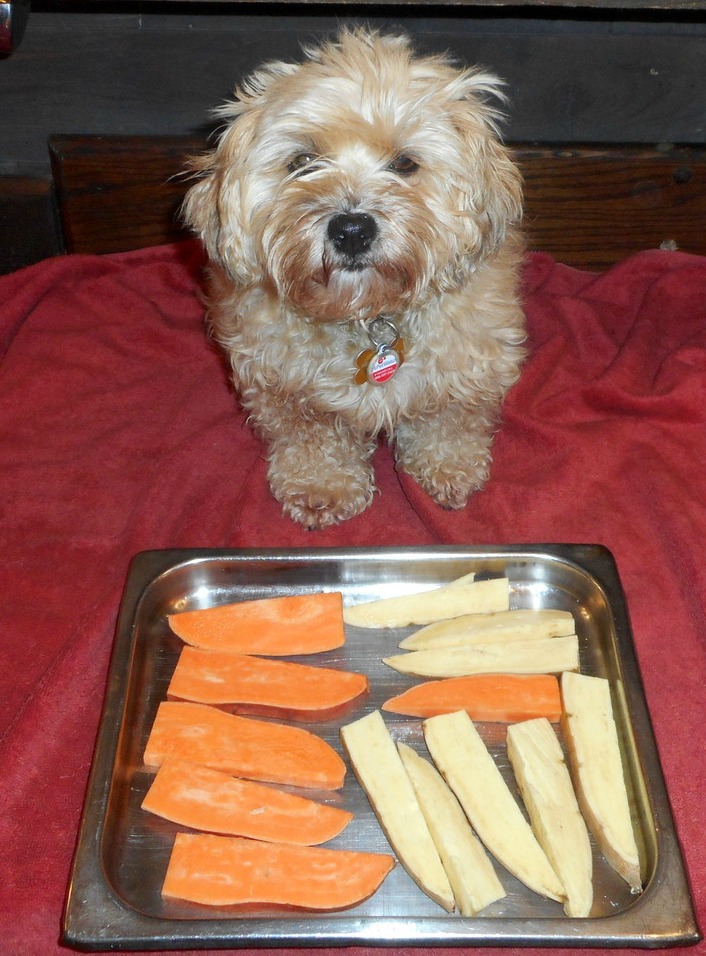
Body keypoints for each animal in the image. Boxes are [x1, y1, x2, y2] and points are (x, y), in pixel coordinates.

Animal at [184, 28, 524, 532]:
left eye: (405, 163)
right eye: (303, 160)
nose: (351, 230)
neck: (369, 315)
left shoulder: (469, 365)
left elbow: (449, 422)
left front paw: (448, 468)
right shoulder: (282, 384)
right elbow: (313, 436)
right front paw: (323, 486)